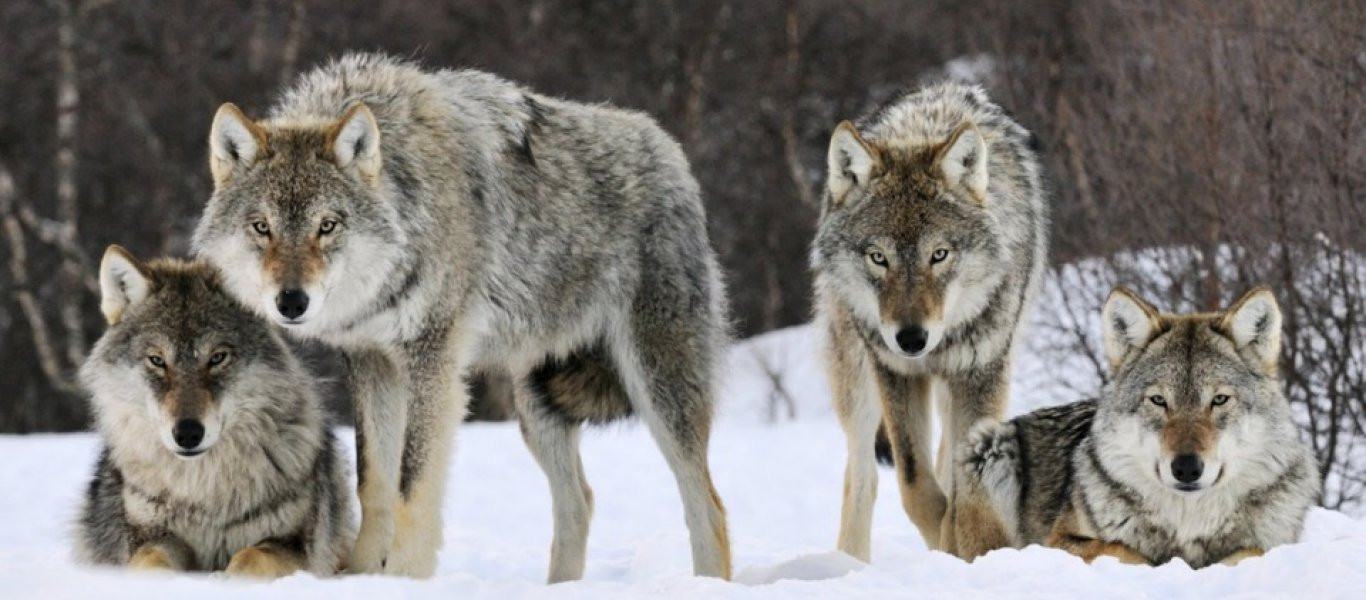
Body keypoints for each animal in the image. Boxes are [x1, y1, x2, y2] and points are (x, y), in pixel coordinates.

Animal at [75, 246, 355, 576]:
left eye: (217, 358)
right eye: (157, 360)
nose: (187, 433)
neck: (204, 494)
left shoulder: (294, 545)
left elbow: (251, 557)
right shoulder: (150, 537)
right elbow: (151, 562)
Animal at [189, 52, 737, 582]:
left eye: (327, 226)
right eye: (262, 227)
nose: (291, 302)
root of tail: (671, 152)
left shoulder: (432, 361)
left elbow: (412, 487)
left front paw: (404, 579)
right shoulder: (371, 363)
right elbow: (374, 483)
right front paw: (362, 575)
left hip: (658, 389)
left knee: (708, 505)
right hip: (537, 407)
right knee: (580, 502)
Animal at [808, 82, 1043, 560]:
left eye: (939, 254)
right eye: (879, 257)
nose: (912, 339)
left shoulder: (982, 372)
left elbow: (962, 486)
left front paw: (964, 548)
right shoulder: (895, 372)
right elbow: (915, 485)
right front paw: (945, 546)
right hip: (857, 379)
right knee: (862, 475)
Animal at [961, 287, 1322, 568]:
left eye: (1219, 400)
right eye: (1159, 400)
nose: (1186, 468)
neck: (1188, 524)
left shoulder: (1274, 543)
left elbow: (1250, 552)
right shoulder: (1059, 541)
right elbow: (1126, 551)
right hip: (989, 444)